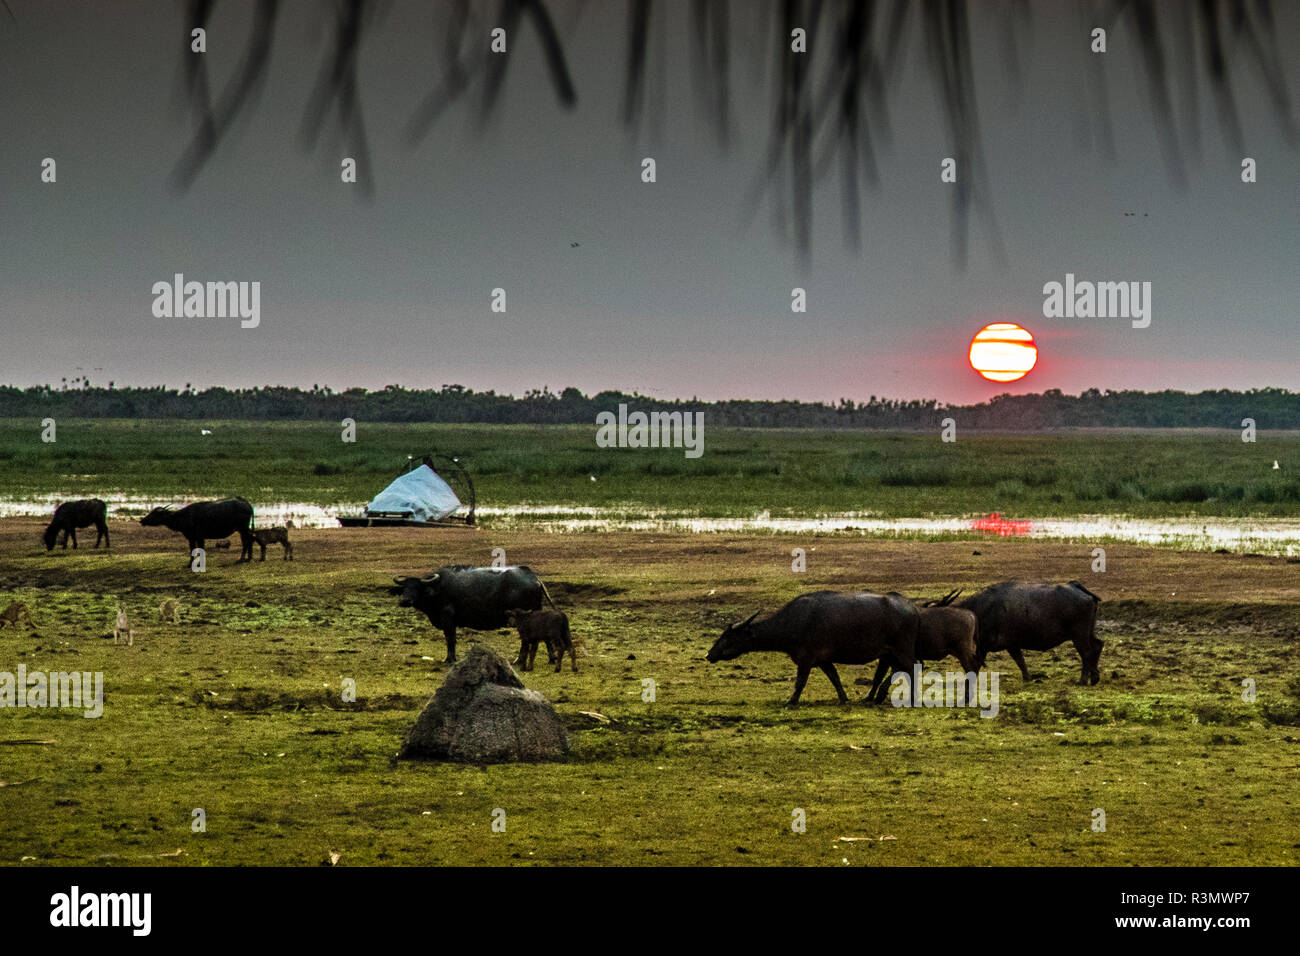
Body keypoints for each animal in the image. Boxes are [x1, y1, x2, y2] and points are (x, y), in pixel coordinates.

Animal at [387, 564, 556, 660]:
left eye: (417, 588)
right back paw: (550, 658)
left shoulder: (448, 619)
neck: (437, 590)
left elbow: (450, 639)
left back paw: (519, 660)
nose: (405, 601)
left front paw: (449, 659)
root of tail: (534, 578)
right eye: (404, 588)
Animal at [707, 590, 920, 712]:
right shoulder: (823, 660)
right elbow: (834, 678)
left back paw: (910, 698)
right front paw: (843, 698)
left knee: (911, 669)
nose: (709, 654)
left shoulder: (806, 659)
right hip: (891, 653)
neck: (793, 622)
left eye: (728, 636)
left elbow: (800, 682)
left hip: (902, 650)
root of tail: (912, 608)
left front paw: (791, 701)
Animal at [961, 580, 1102, 686]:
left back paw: (1083, 680)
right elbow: (1020, 661)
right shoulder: (1012, 645)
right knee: (1097, 646)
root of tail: (1075, 586)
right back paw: (1094, 678)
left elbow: (977, 663)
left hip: (1079, 635)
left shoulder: (987, 645)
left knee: (1087, 652)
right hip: (1088, 632)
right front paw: (1027, 678)